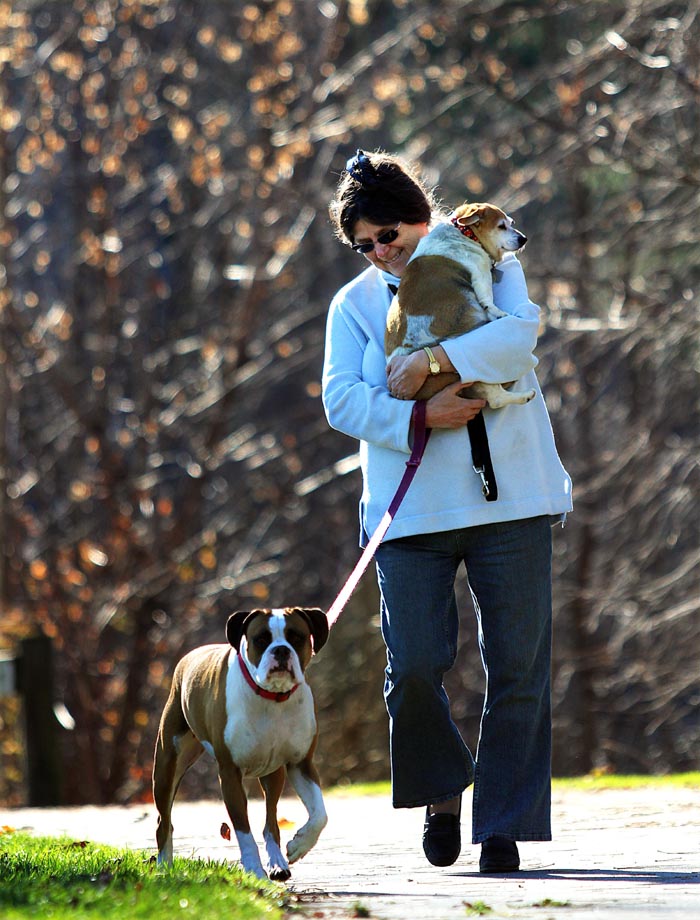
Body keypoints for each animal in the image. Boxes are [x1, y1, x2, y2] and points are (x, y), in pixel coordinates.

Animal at [153, 608, 328, 880]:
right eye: (261, 639)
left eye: (296, 637)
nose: (281, 650)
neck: (272, 698)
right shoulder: (230, 774)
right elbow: (243, 831)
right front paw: (254, 868)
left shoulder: (301, 764)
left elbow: (320, 814)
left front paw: (299, 845)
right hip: (167, 768)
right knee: (164, 821)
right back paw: (164, 867)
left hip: (273, 775)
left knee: (271, 820)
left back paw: (277, 862)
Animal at [386, 201, 540, 406]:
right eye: (501, 226)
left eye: (511, 222)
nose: (523, 239)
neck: (464, 232)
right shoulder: (481, 276)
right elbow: (488, 302)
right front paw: (500, 314)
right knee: (496, 398)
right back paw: (524, 395)